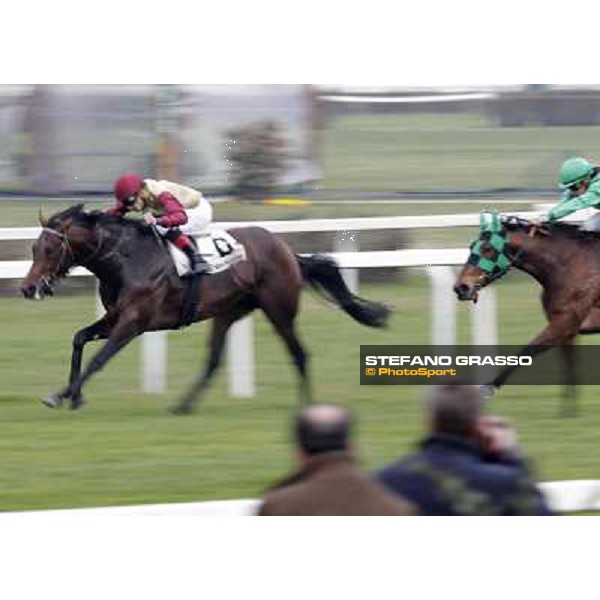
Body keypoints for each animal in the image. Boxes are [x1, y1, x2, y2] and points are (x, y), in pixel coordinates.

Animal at [21, 205, 390, 412]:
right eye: (34, 248)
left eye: (50, 249)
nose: (27, 287)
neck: (126, 259)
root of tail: (287, 250)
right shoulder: (114, 317)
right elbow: (80, 338)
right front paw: (70, 395)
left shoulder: (134, 322)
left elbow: (99, 358)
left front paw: (66, 395)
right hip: (227, 312)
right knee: (213, 360)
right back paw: (183, 406)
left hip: (279, 310)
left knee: (299, 353)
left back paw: (308, 407)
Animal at [452, 213, 600, 414]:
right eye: (471, 246)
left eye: (488, 249)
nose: (461, 287)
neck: (568, 266)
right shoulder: (565, 325)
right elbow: (569, 361)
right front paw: (568, 410)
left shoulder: (564, 322)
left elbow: (527, 350)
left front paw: (488, 387)